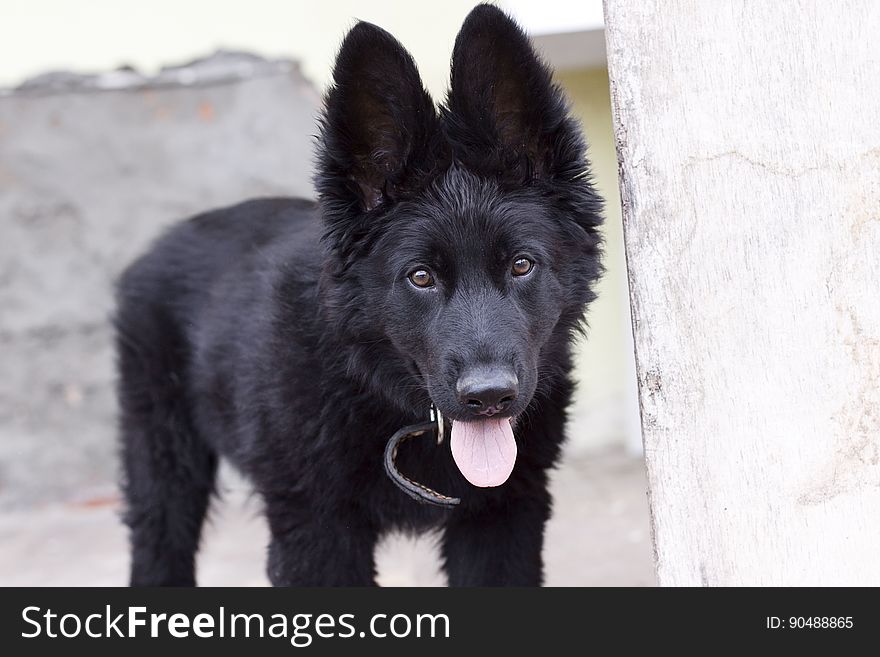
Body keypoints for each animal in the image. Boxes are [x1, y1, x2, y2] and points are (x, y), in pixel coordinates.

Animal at [115, 2, 600, 588]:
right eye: (420, 277)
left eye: (522, 265)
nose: (489, 397)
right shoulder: (316, 533)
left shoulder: (506, 518)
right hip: (164, 466)